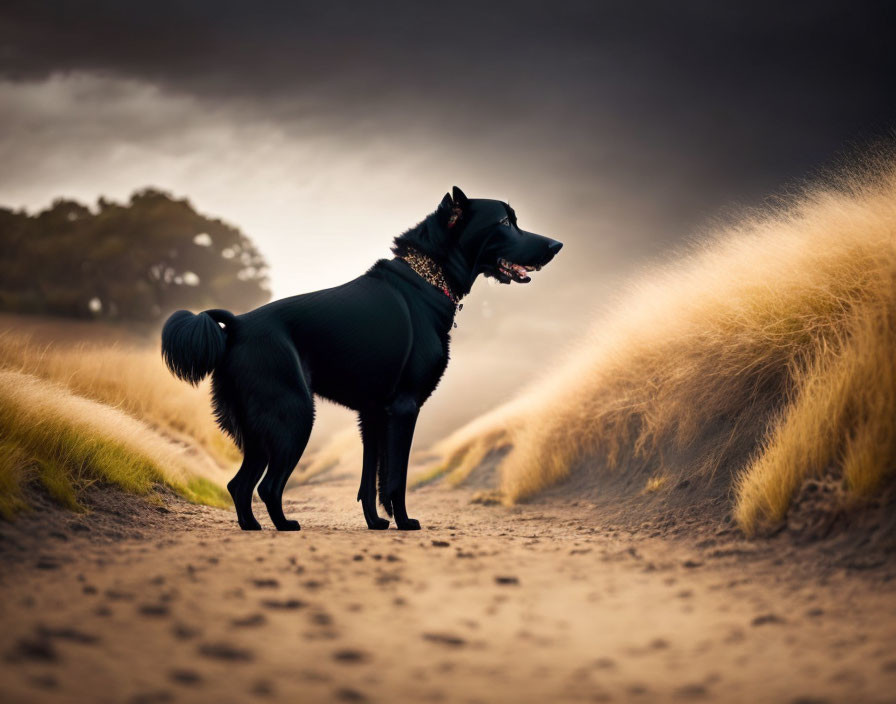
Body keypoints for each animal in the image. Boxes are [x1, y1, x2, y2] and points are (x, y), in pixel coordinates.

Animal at [163, 187, 560, 528]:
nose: (557, 245)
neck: (425, 281)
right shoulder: (404, 408)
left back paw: (253, 527)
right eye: (504, 222)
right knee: (267, 485)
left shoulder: (372, 415)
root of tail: (237, 325)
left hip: (261, 431)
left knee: (240, 484)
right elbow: (395, 477)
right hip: (293, 418)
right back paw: (284, 526)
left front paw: (376, 523)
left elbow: (371, 479)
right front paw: (404, 523)